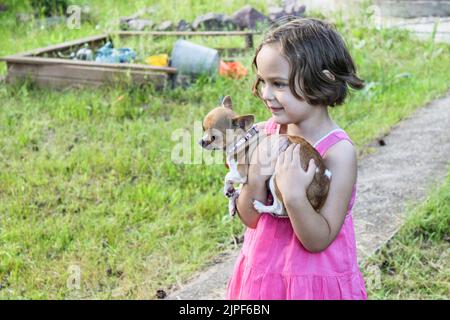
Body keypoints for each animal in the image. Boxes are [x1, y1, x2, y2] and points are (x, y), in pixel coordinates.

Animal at [199, 95, 332, 218]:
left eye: (213, 137)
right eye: (203, 129)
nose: (200, 141)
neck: (242, 139)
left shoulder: (241, 174)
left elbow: (227, 176)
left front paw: (228, 189)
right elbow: (236, 188)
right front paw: (231, 199)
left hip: (275, 179)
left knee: (280, 209)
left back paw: (261, 207)